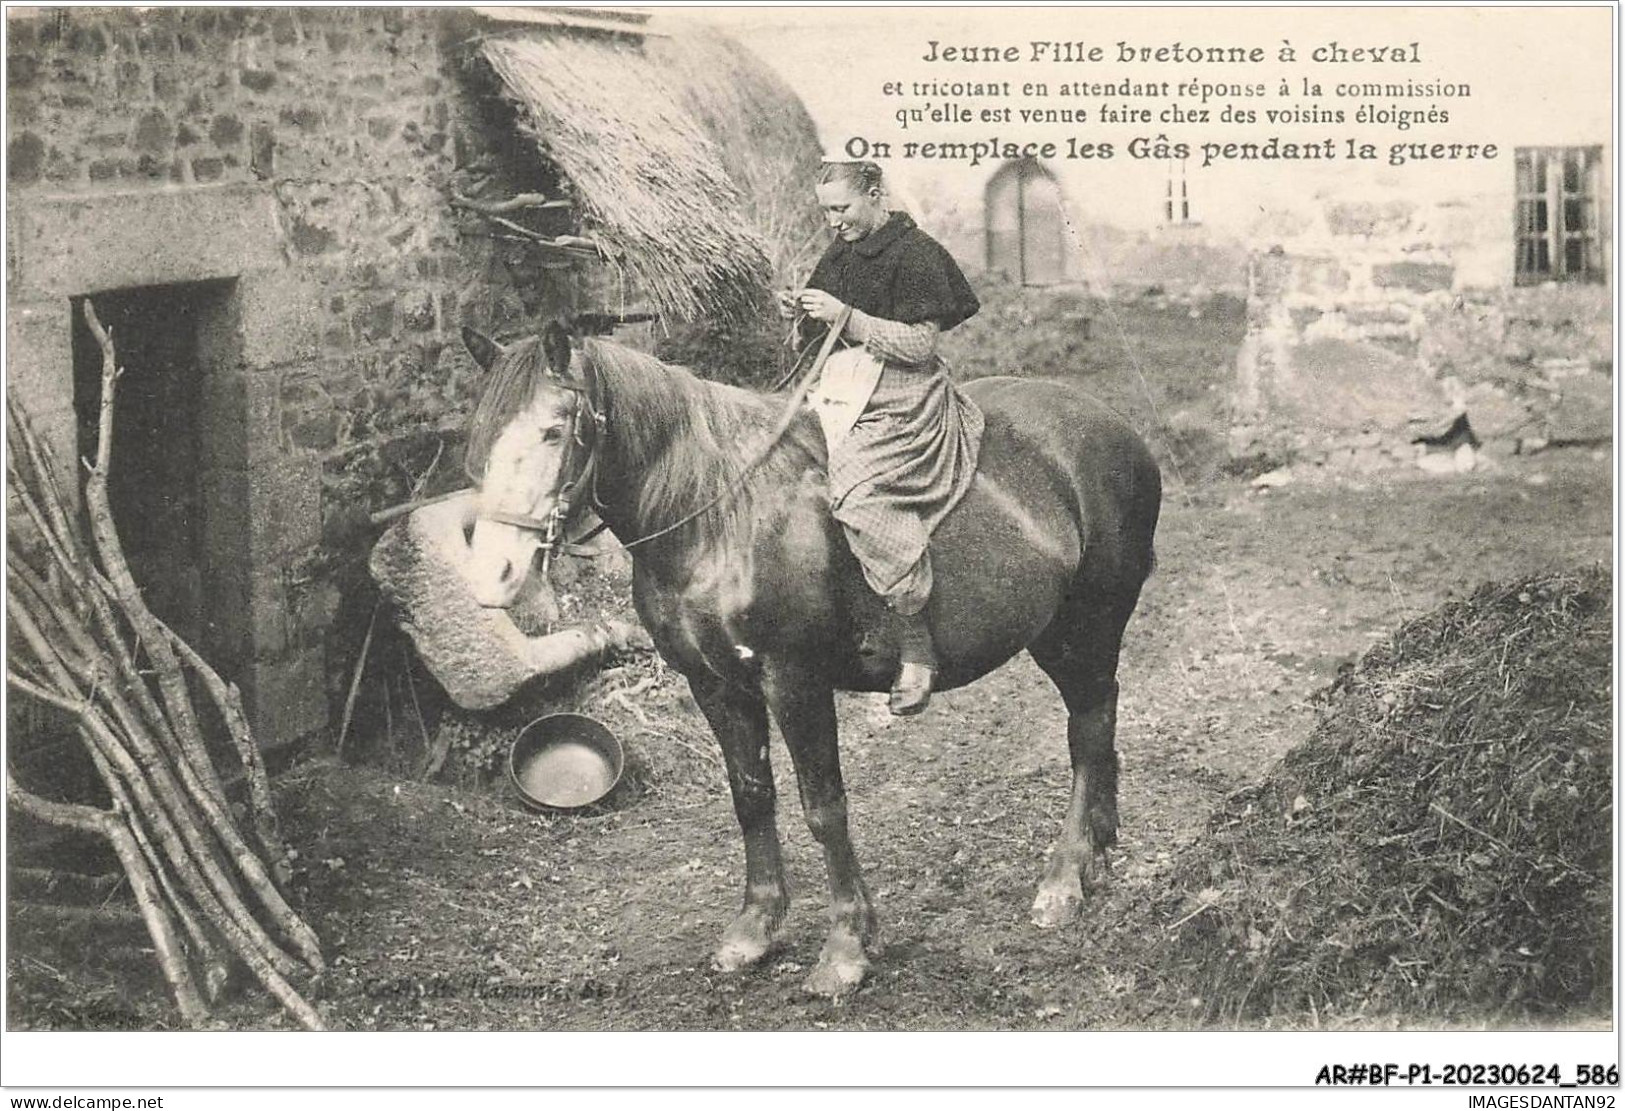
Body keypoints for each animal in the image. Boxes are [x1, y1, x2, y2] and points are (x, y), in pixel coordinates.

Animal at [464, 323, 1163, 1000]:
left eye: (555, 429)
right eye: (482, 438)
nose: (495, 574)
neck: (720, 517)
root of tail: (1113, 425)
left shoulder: (793, 681)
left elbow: (823, 808)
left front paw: (846, 949)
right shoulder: (714, 685)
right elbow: (751, 796)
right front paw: (754, 929)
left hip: (1083, 627)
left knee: (1087, 731)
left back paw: (1064, 879)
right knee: (1098, 721)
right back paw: (1098, 851)